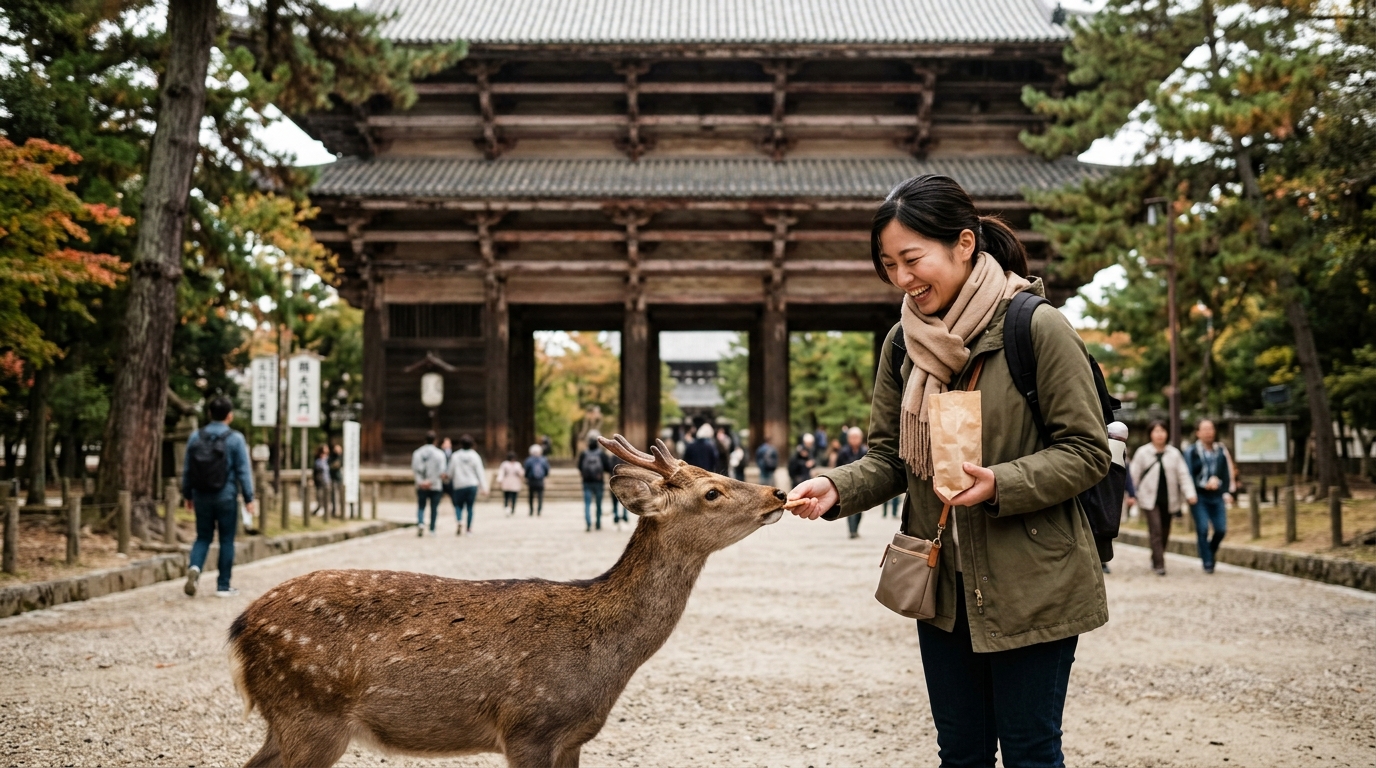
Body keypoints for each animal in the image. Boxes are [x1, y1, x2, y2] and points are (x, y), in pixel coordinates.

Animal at [228, 435, 788, 768]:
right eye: (712, 492)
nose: (778, 494)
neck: (604, 660)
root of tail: (240, 629)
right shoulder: (528, 726)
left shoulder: (572, 737)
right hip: (311, 709)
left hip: (290, 717)